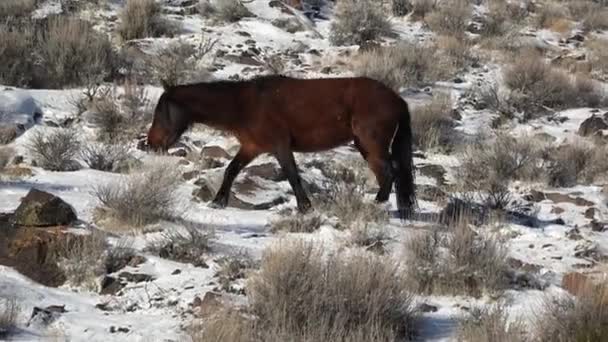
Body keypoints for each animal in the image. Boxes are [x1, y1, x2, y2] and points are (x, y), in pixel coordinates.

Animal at [145, 75, 416, 219]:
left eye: (160, 112)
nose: (150, 143)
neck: (245, 104)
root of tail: (397, 99)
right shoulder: (252, 147)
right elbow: (231, 170)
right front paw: (218, 201)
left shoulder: (280, 146)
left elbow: (292, 175)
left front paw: (305, 207)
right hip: (366, 146)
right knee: (388, 174)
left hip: (371, 144)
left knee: (388, 173)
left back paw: (376, 205)